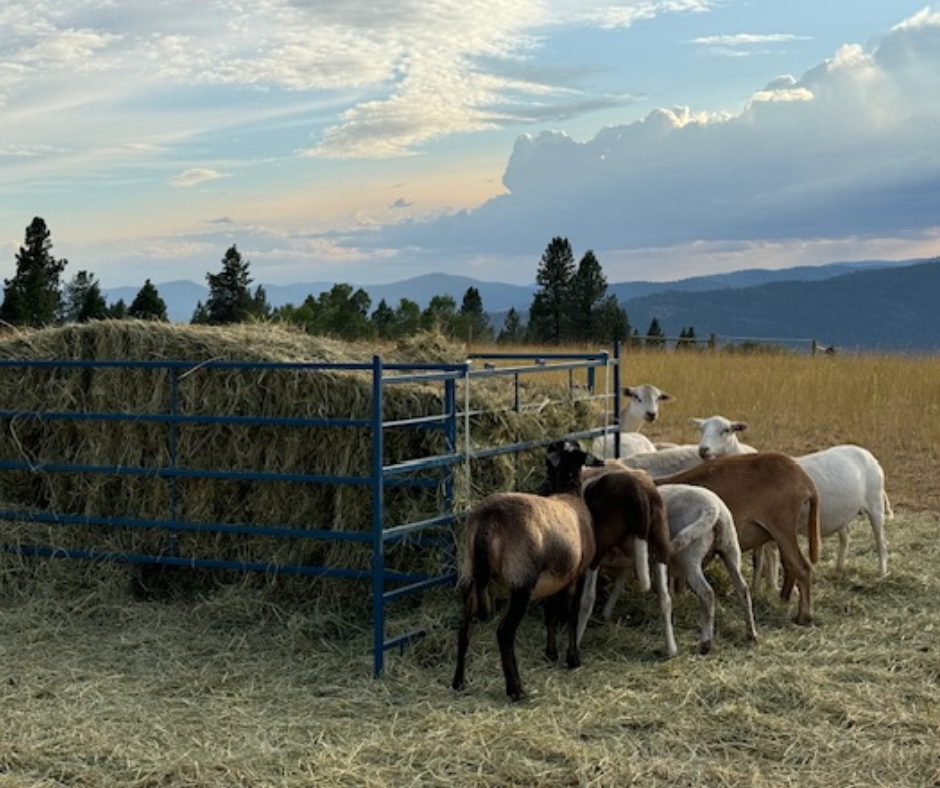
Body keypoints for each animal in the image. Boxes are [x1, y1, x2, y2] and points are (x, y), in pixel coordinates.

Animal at [451, 440, 600, 701]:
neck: (568, 493)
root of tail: (488, 518)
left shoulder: (551, 579)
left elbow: (551, 615)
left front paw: (551, 654)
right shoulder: (577, 574)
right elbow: (572, 614)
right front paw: (572, 659)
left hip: (470, 574)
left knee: (464, 630)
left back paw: (459, 682)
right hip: (521, 580)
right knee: (504, 632)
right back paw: (516, 689)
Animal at [576, 464, 677, 658]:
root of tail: (638, 492)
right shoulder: (629, 558)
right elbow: (620, 582)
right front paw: (606, 613)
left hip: (597, 549)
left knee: (587, 599)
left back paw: (575, 643)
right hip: (661, 544)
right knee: (665, 598)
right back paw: (671, 649)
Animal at [599, 484, 758, 654]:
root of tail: (712, 508)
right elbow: (620, 581)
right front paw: (606, 612)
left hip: (690, 556)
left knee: (707, 593)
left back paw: (705, 643)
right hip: (730, 547)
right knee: (742, 589)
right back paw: (751, 633)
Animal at [654, 452, 821, 625]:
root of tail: (804, 480)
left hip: (782, 525)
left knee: (802, 568)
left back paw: (803, 617)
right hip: (781, 531)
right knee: (789, 566)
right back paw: (784, 601)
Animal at [754, 444, 894, 587]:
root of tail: (870, 456)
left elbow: (771, 554)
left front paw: (772, 586)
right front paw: (760, 586)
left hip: (875, 504)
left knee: (881, 543)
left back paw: (882, 575)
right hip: (843, 514)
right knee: (845, 538)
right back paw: (839, 568)